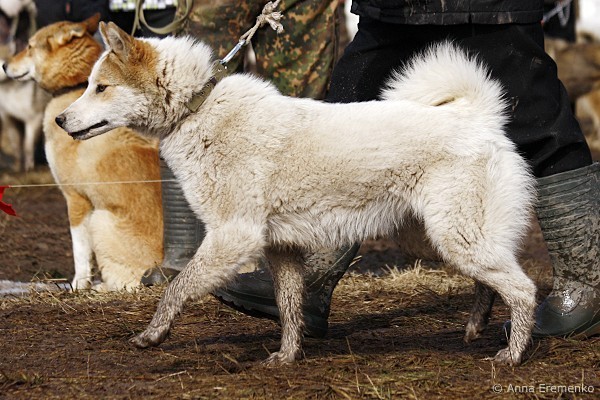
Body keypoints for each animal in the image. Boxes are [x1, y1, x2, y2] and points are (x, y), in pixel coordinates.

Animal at [3, 15, 164, 291]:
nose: (4, 65)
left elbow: (79, 251)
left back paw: (102, 286)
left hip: (100, 219)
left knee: (128, 283)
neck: (73, 86)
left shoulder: (75, 199)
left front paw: (79, 284)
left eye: (30, 46)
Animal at [56, 22, 537, 366]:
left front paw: (153, 334)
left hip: (455, 236)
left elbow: (176, 289)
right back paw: (476, 326)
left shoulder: (233, 236)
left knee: (523, 289)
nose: (60, 120)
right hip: (442, 238)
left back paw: (512, 355)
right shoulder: (281, 247)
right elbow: (290, 308)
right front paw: (287, 357)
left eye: (101, 87)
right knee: (490, 282)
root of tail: (476, 116)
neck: (198, 106)